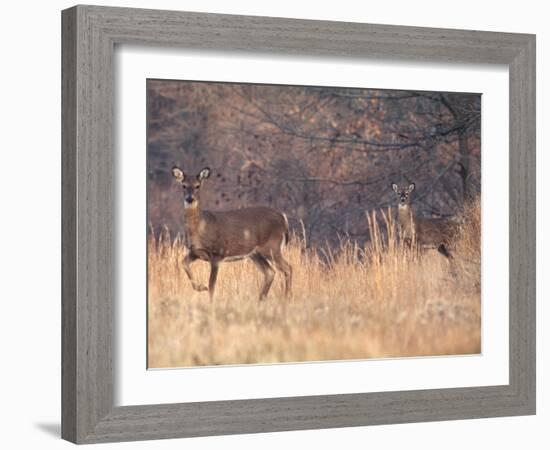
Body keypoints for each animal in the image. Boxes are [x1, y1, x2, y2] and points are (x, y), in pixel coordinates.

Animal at [172, 166, 294, 302]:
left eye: (197, 186)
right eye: (184, 185)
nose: (190, 198)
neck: (200, 228)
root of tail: (283, 217)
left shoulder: (217, 253)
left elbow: (212, 285)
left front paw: (210, 301)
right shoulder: (195, 252)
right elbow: (183, 263)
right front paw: (200, 287)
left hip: (272, 246)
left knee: (288, 268)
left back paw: (287, 298)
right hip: (255, 253)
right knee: (270, 272)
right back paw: (261, 299)